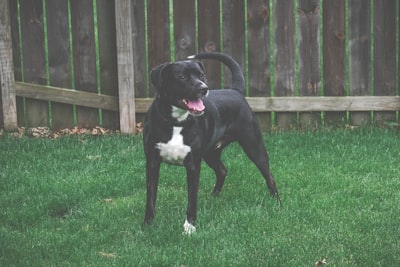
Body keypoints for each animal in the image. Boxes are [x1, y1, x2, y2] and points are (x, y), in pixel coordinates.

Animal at [143, 52, 278, 234]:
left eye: (201, 75)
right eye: (182, 76)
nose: (203, 88)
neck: (176, 121)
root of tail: (235, 91)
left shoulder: (193, 165)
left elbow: (192, 199)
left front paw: (189, 227)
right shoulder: (152, 163)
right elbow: (151, 196)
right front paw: (147, 224)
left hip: (254, 146)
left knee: (269, 175)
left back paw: (276, 202)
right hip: (211, 153)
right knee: (222, 170)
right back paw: (214, 196)